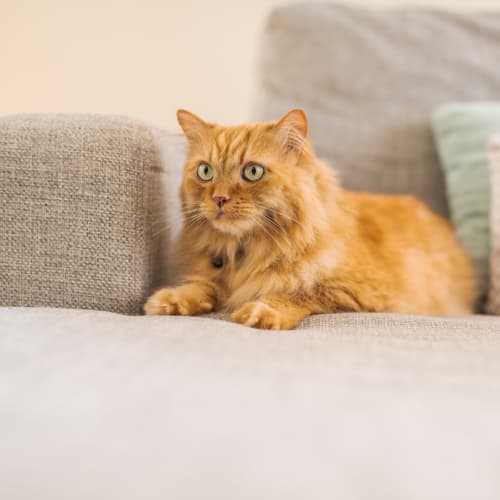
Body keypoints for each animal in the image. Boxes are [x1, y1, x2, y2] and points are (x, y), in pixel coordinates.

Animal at [144, 109, 476, 328]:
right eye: (205, 172)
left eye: (252, 172)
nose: (219, 199)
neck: (247, 251)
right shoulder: (213, 276)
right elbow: (201, 287)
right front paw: (170, 300)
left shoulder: (355, 291)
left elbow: (294, 292)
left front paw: (261, 312)